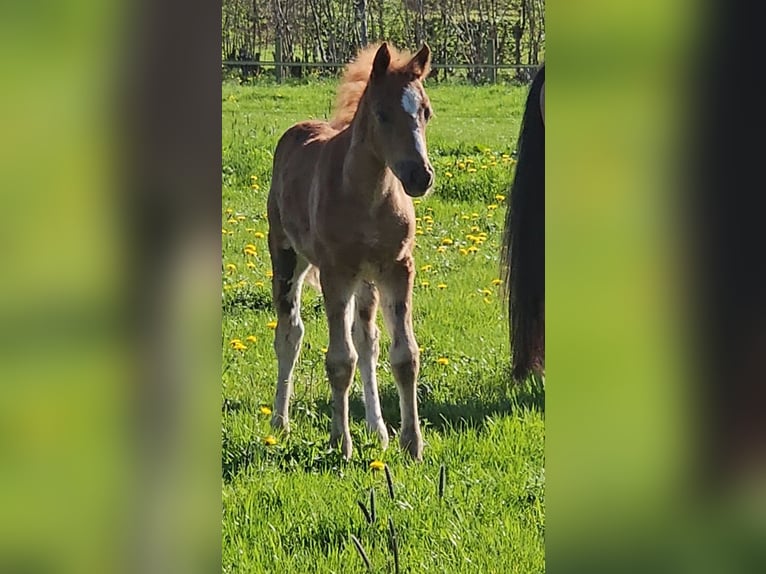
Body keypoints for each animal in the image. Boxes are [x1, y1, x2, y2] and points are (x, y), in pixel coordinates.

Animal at [268, 41, 436, 464]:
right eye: (382, 113)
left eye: (425, 111)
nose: (420, 176)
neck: (368, 196)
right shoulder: (335, 272)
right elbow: (339, 360)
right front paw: (339, 443)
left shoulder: (397, 268)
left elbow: (404, 355)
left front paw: (412, 444)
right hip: (286, 256)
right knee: (289, 333)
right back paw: (280, 420)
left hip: (366, 282)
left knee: (366, 340)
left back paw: (378, 430)